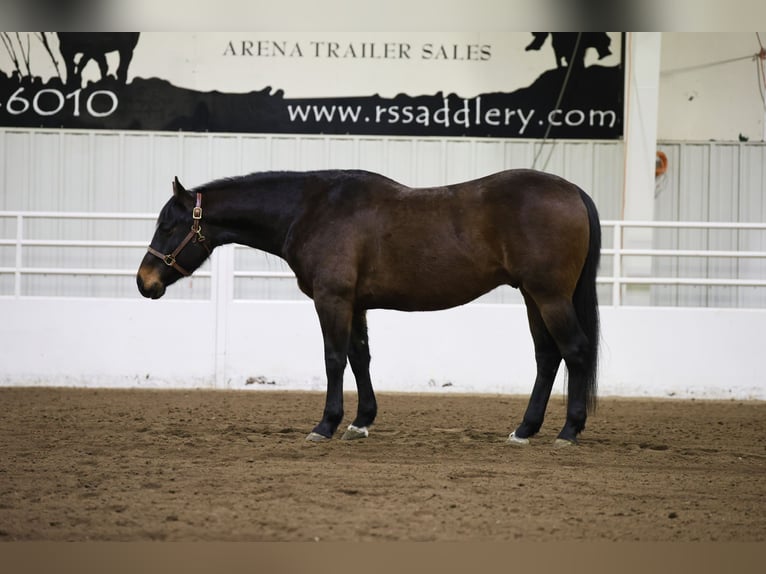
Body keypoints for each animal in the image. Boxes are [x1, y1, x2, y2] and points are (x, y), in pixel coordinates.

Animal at [141, 169, 604, 448]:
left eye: (168, 225)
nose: (144, 282)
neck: (311, 210)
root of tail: (572, 191)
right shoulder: (356, 305)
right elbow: (359, 357)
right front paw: (360, 422)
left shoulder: (332, 299)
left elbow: (333, 359)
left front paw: (326, 425)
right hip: (533, 297)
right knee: (547, 357)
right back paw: (525, 430)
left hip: (549, 296)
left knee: (575, 351)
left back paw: (568, 431)